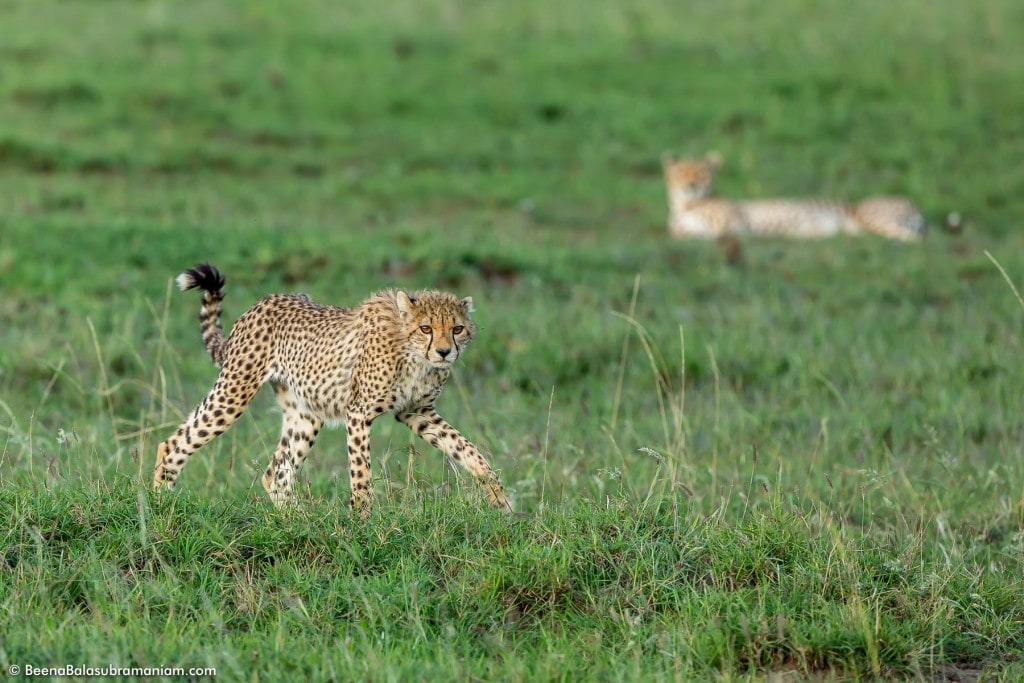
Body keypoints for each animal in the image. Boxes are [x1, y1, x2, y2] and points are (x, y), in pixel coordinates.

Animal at [152, 264, 512, 516]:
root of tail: (264, 301)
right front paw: (362, 522)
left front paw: (500, 499)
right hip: (235, 391)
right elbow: (361, 472)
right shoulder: (359, 413)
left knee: (276, 474)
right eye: (426, 328)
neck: (412, 353)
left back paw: (300, 522)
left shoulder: (417, 412)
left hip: (306, 414)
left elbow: (466, 449)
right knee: (174, 443)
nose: (444, 351)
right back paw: (159, 505)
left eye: (457, 328)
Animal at [663, 153, 929, 241]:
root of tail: (910, 200)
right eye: (681, 172)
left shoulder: (736, 222)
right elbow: (679, 231)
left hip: (871, 219)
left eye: (702, 173)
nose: (691, 184)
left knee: (914, 239)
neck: (686, 205)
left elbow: (721, 231)